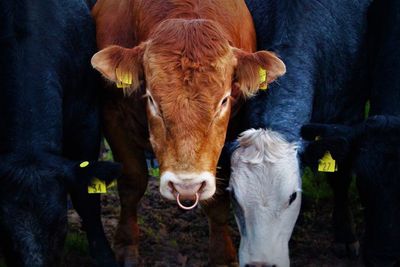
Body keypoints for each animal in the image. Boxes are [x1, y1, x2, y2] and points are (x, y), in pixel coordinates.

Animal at [91, 1, 284, 266]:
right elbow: (132, 183)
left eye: (224, 100)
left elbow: (218, 197)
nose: (186, 186)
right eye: (151, 99)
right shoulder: (113, 116)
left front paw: (222, 255)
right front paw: (126, 246)